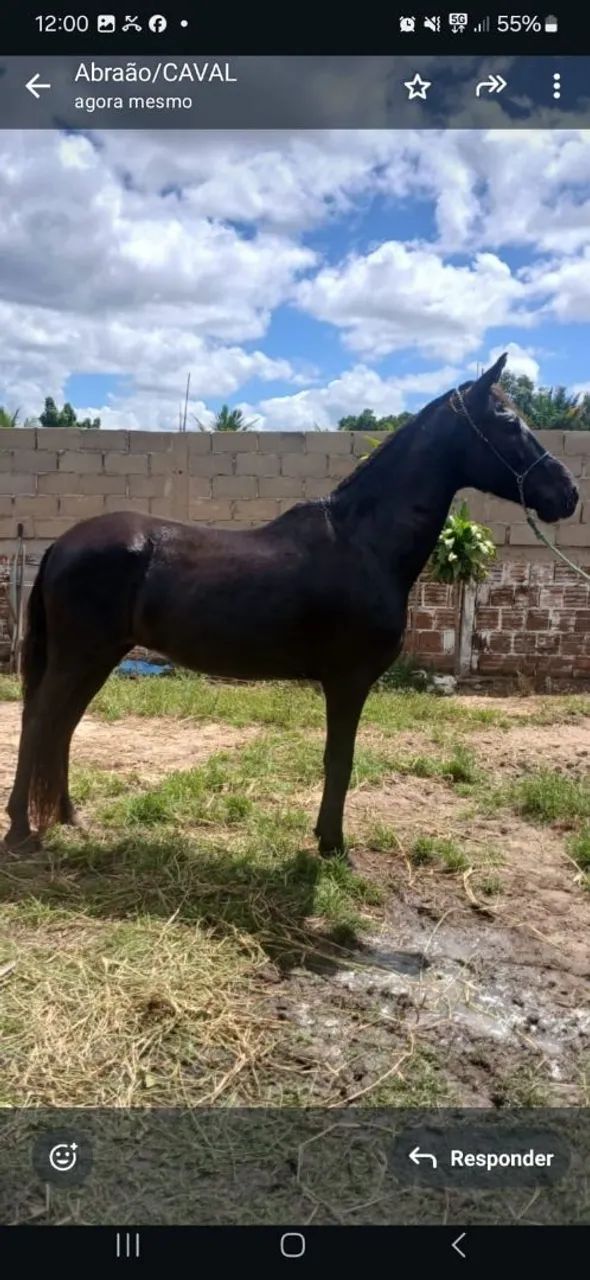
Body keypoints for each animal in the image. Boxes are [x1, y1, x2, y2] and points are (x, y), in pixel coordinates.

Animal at [2, 353, 578, 857]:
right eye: (508, 421)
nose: (568, 493)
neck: (363, 543)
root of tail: (61, 544)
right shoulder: (348, 681)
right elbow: (340, 759)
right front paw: (332, 847)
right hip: (82, 655)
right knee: (40, 722)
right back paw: (20, 831)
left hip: (97, 657)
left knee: (61, 725)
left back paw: (69, 817)